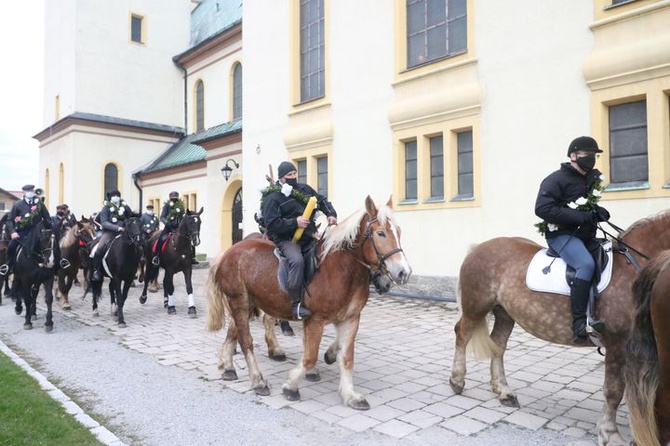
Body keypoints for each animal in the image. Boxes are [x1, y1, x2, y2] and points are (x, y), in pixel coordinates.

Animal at [206, 195, 414, 408]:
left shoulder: (350, 319)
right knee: (246, 340)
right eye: (380, 233)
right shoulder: (315, 319)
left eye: (398, 232)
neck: (342, 269)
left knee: (234, 331)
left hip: (249, 303)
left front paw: (350, 394)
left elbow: (346, 358)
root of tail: (228, 252)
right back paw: (257, 381)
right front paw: (291, 386)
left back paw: (228, 367)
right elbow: (310, 356)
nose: (403, 273)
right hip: (239, 302)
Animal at [448, 210, 670, 446]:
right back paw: (457, 380)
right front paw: (610, 434)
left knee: (498, 346)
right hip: (476, 307)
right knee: (462, 334)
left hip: (504, 314)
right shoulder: (617, 344)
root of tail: (477, 248)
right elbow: (614, 391)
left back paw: (504, 392)